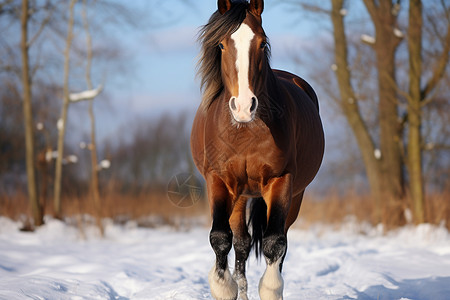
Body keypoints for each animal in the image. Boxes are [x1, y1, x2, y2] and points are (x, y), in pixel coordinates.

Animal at [190, 1, 324, 298]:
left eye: (262, 44)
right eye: (221, 44)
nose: (243, 106)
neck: (245, 132)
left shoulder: (280, 180)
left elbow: (275, 243)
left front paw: (271, 287)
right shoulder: (219, 180)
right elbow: (220, 237)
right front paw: (223, 287)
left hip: (294, 196)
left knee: (280, 240)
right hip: (240, 195)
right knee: (241, 242)